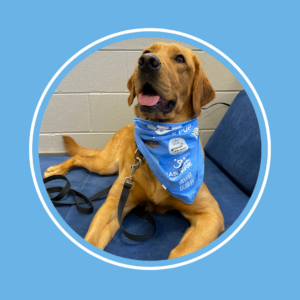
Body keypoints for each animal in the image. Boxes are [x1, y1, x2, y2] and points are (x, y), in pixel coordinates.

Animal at [43, 42, 224, 260]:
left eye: (180, 58)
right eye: (146, 52)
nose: (146, 61)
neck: (159, 143)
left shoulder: (210, 212)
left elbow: (181, 251)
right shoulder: (115, 203)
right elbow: (92, 239)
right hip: (105, 165)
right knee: (79, 156)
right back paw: (56, 170)